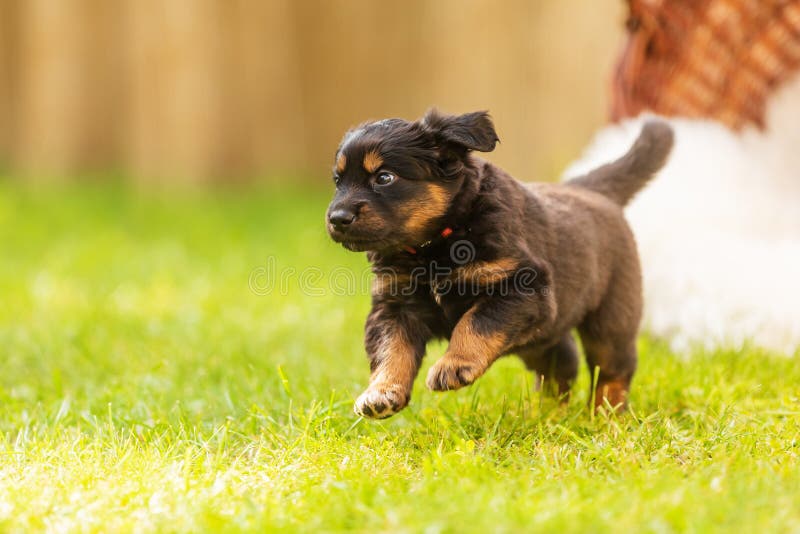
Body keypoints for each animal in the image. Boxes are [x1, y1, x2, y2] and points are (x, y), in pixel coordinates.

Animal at [326, 111, 676, 420]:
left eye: (384, 177)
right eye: (338, 181)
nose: (336, 218)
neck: (433, 247)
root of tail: (588, 189)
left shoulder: (522, 287)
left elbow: (474, 322)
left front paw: (453, 365)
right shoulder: (395, 307)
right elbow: (391, 350)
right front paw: (381, 393)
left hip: (611, 317)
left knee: (613, 368)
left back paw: (606, 416)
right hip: (543, 333)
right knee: (562, 361)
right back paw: (547, 415)